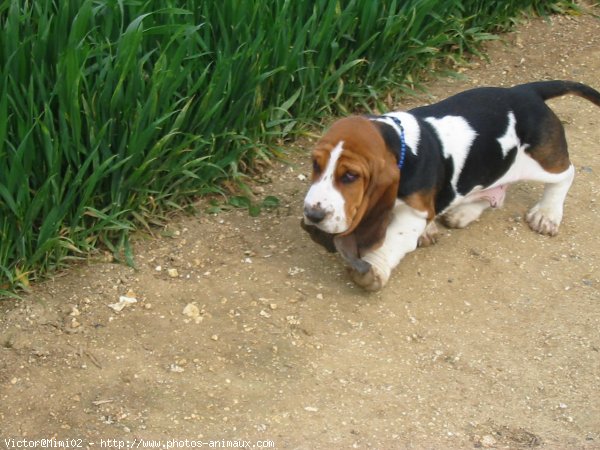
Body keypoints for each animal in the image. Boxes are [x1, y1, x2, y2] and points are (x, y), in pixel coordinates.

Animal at [302, 80, 600, 292]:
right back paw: (462, 212)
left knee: (565, 175)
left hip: (538, 163)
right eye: (315, 164)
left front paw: (374, 270)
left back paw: (547, 214)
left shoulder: (412, 214)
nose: (312, 215)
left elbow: (392, 240)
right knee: (495, 192)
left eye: (350, 176)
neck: (401, 144)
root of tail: (526, 91)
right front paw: (430, 230)